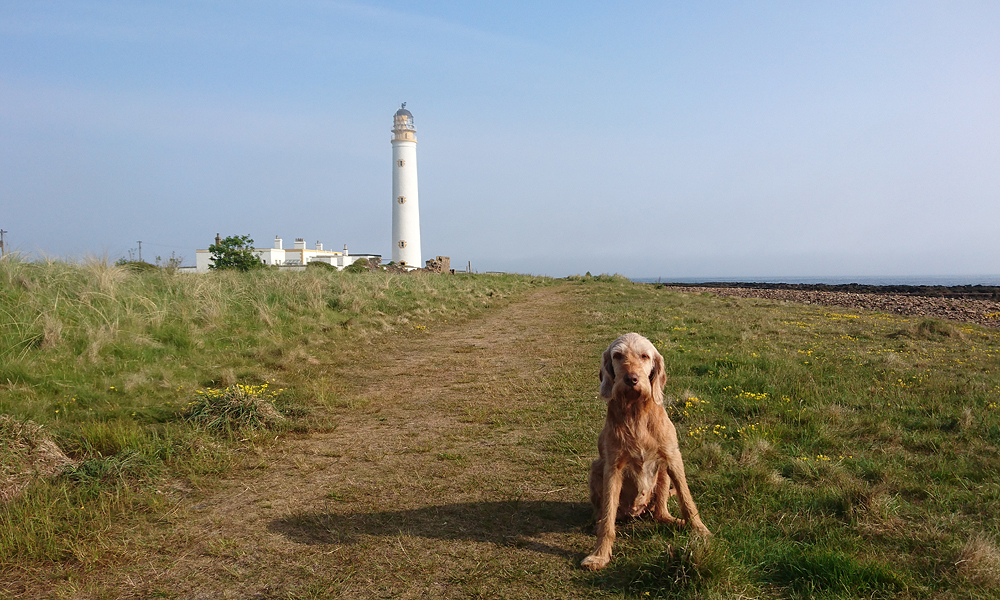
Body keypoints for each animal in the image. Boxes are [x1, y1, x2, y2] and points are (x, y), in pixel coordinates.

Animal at [581, 333, 711, 571]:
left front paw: (700, 530)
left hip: (662, 474)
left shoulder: (672, 458)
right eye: (618, 355)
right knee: (604, 513)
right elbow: (608, 517)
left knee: (660, 513)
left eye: (644, 356)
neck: (636, 411)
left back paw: (677, 522)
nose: (631, 379)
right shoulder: (612, 467)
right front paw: (599, 554)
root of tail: (636, 512)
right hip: (596, 469)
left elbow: (687, 499)